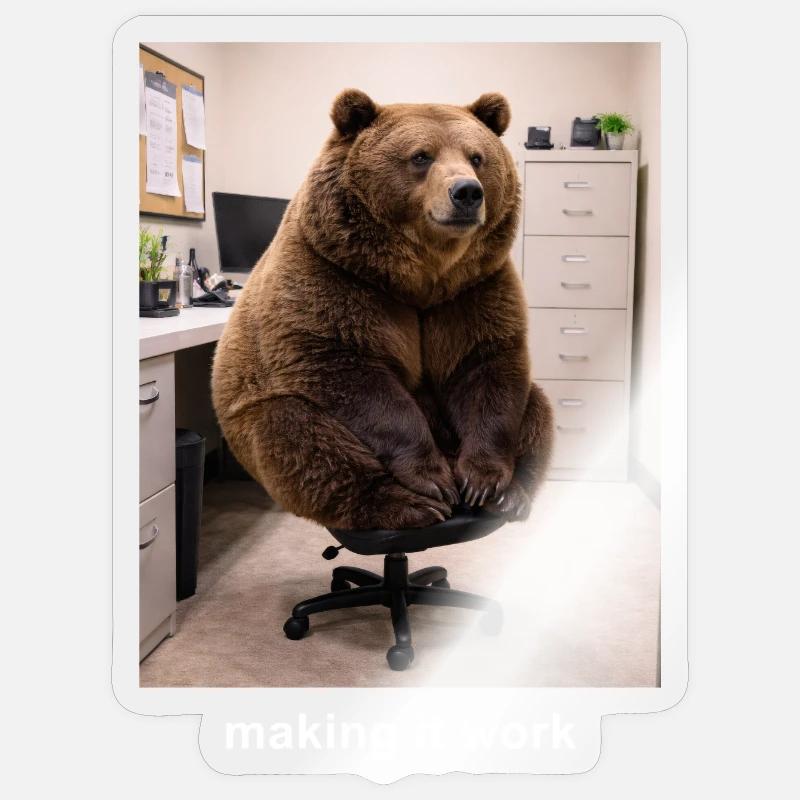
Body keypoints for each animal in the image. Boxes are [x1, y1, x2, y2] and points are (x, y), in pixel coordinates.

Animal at [211, 89, 553, 530]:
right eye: (421, 156)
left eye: (477, 156)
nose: (467, 192)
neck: (418, 279)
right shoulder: (334, 277)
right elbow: (355, 375)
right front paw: (433, 480)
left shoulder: (473, 290)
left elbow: (486, 367)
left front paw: (484, 482)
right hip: (260, 412)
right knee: (299, 437)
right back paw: (404, 503)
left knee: (537, 408)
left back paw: (513, 496)